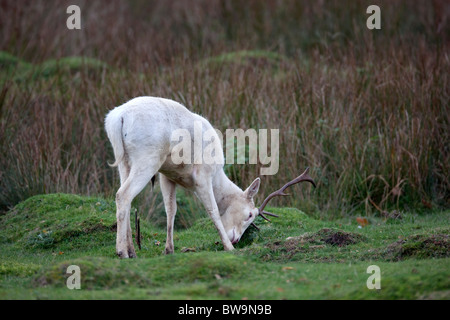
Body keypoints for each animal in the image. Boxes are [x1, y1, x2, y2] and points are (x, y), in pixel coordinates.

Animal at [105, 96, 316, 258]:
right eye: (250, 214)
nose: (236, 239)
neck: (217, 175)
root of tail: (117, 118)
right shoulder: (202, 175)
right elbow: (212, 210)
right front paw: (228, 248)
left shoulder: (168, 176)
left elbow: (171, 210)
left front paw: (169, 250)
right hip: (148, 157)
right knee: (123, 194)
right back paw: (121, 252)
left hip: (125, 160)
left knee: (126, 196)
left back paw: (132, 251)